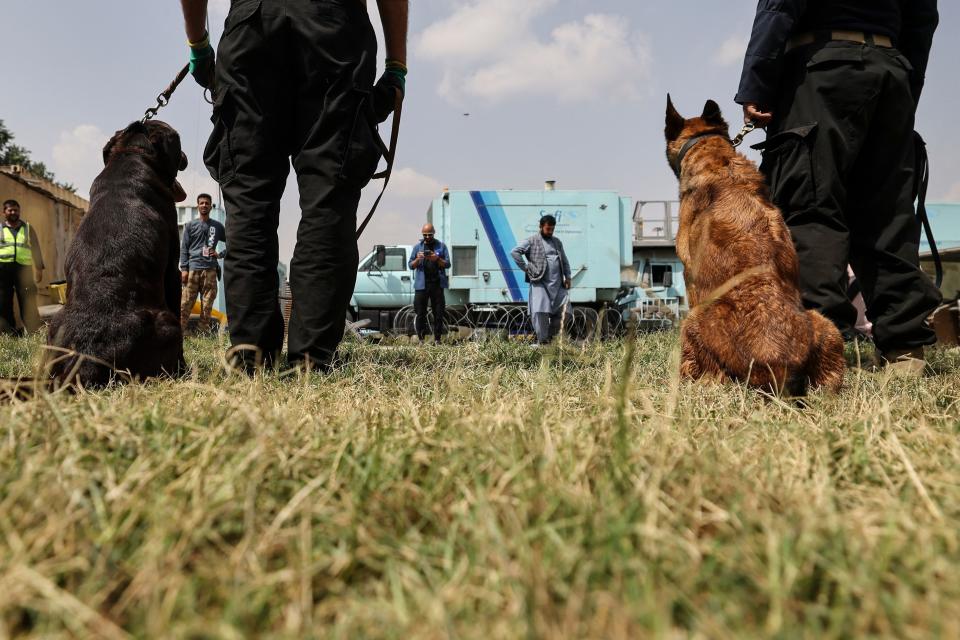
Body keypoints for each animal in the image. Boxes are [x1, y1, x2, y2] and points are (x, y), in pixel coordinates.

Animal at [664, 96, 844, 396]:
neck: (715, 157)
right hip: (827, 325)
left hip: (692, 321)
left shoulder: (689, 277)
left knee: (709, 375)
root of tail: (780, 367)